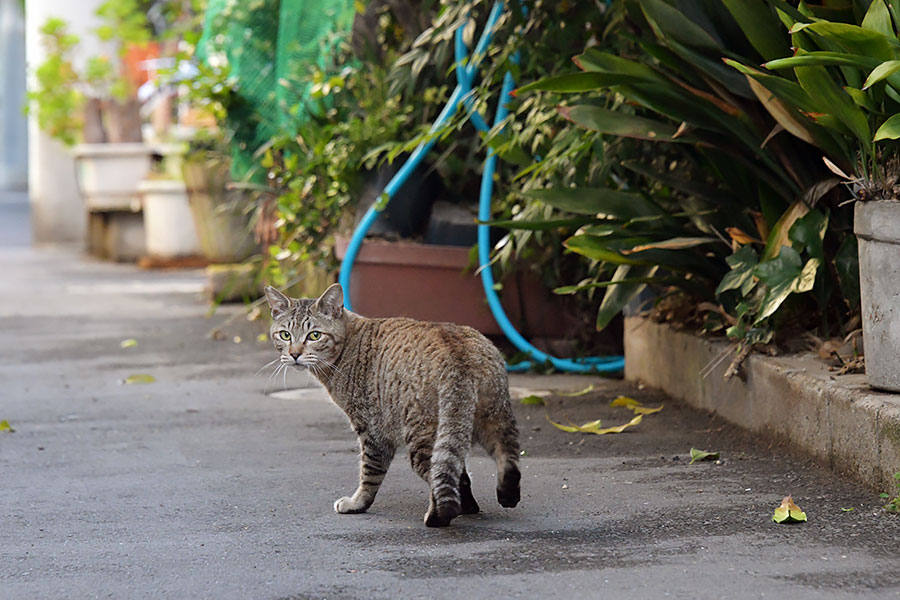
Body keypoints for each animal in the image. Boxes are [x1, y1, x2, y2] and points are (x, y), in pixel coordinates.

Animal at [264, 284, 520, 528]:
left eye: (314, 335)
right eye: (285, 335)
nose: (294, 354)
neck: (347, 345)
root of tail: (457, 353)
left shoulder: (372, 431)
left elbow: (369, 474)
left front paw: (356, 503)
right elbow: (461, 475)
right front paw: (469, 505)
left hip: (421, 436)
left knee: (437, 473)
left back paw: (437, 517)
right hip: (494, 418)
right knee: (503, 458)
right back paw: (507, 495)